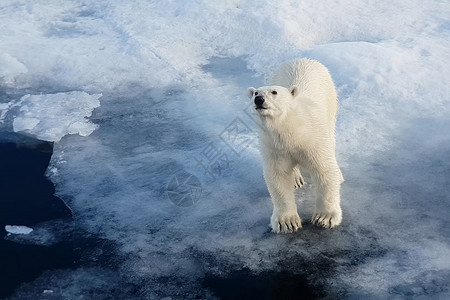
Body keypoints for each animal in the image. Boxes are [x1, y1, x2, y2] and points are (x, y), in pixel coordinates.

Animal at [248, 58, 342, 232]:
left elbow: (324, 170)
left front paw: (325, 217)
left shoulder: (313, 140)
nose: (259, 100)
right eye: (256, 93)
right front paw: (287, 222)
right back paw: (296, 179)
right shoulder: (275, 146)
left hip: (331, 101)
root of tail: (303, 59)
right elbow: (278, 176)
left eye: (274, 92)